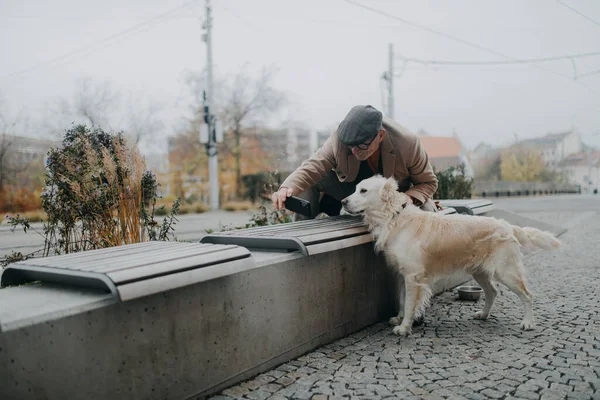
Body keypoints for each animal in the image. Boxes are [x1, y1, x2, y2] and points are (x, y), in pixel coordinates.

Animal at [342, 177, 564, 336]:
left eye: (363, 190)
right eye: (355, 188)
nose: (343, 201)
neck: (393, 217)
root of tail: (507, 225)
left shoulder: (413, 276)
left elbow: (410, 302)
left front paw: (404, 328)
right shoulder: (402, 274)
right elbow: (402, 299)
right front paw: (399, 318)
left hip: (506, 271)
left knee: (527, 295)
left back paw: (528, 322)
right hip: (480, 272)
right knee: (492, 292)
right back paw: (483, 315)